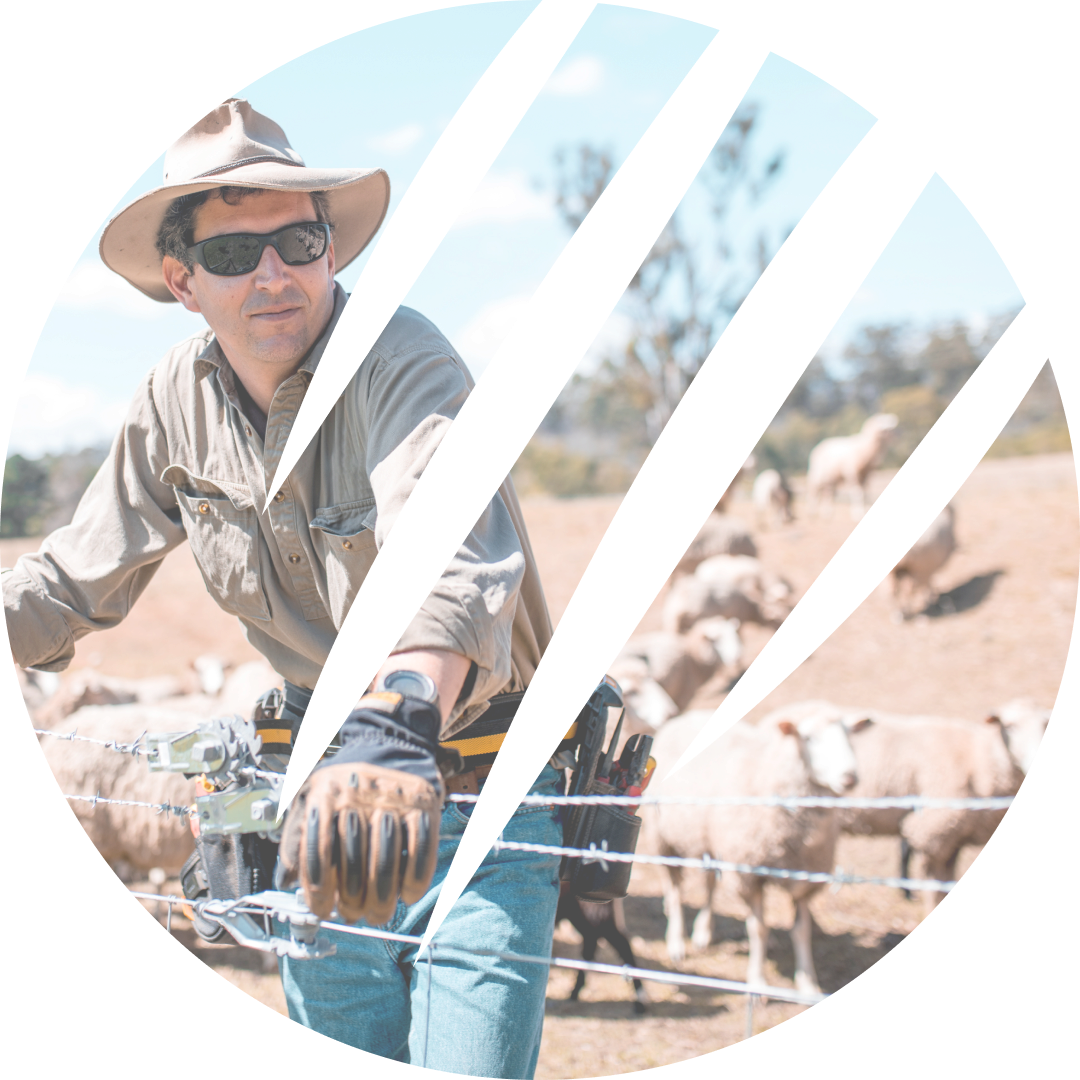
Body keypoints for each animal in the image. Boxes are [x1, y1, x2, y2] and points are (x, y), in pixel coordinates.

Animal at [639, 699, 859, 993]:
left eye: (849, 735)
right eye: (808, 738)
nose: (850, 777)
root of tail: (685, 716)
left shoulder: (805, 876)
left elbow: (802, 931)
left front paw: (808, 984)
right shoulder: (748, 873)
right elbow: (759, 929)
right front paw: (757, 983)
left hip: (712, 840)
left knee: (709, 883)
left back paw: (703, 932)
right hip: (663, 839)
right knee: (674, 891)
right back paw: (676, 943)